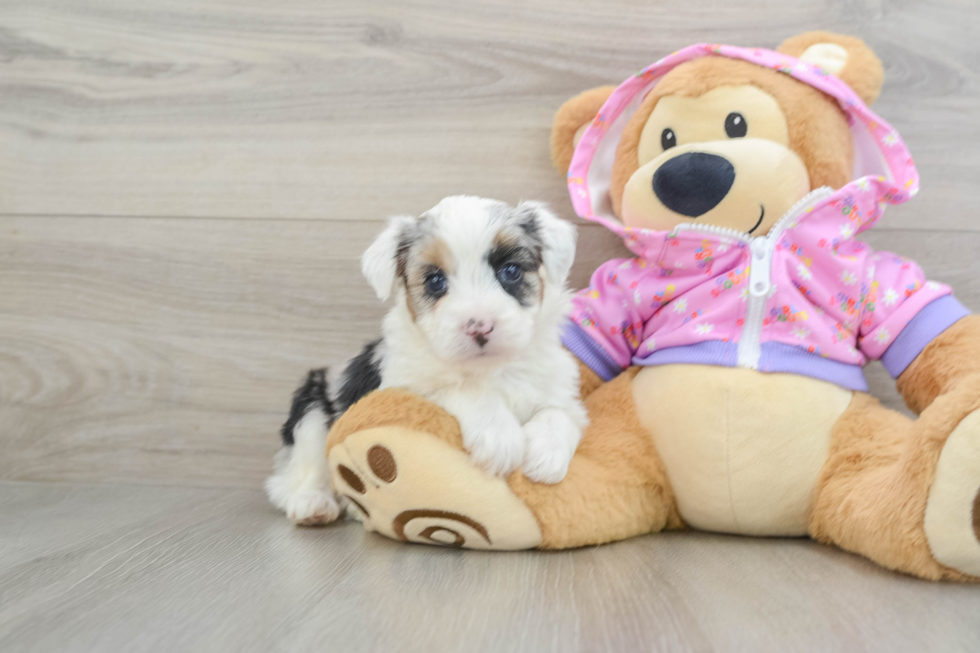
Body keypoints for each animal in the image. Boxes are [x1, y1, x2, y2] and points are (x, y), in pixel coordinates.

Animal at [268, 195, 584, 524]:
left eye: (510, 271)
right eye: (435, 281)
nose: (480, 327)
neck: (491, 368)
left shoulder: (561, 390)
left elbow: (561, 415)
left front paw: (546, 454)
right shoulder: (402, 388)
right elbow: (462, 390)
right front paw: (499, 436)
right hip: (312, 410)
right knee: (293, 477)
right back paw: (313, 503)